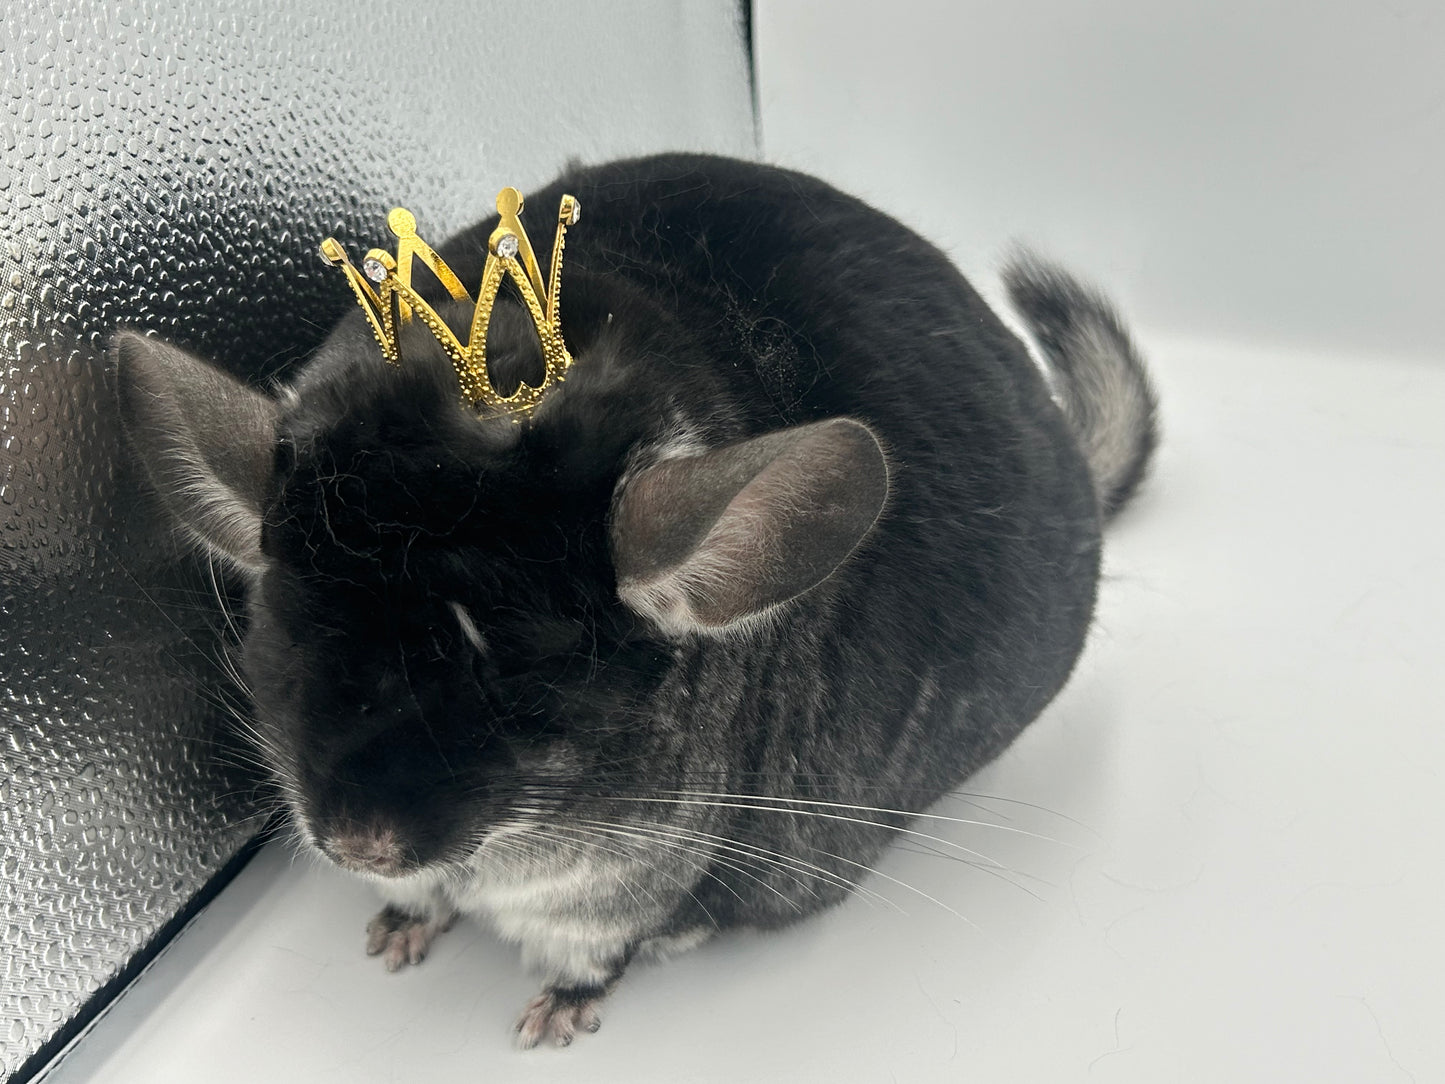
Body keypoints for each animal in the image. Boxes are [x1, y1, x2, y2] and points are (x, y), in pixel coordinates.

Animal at [112, 152, 1157, 1048]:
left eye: (528, 685)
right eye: (280, 643)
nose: (358, 846)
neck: (497, 866)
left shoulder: (621, 901)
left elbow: (599, 956)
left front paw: (550, 1020)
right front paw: (394, 931)